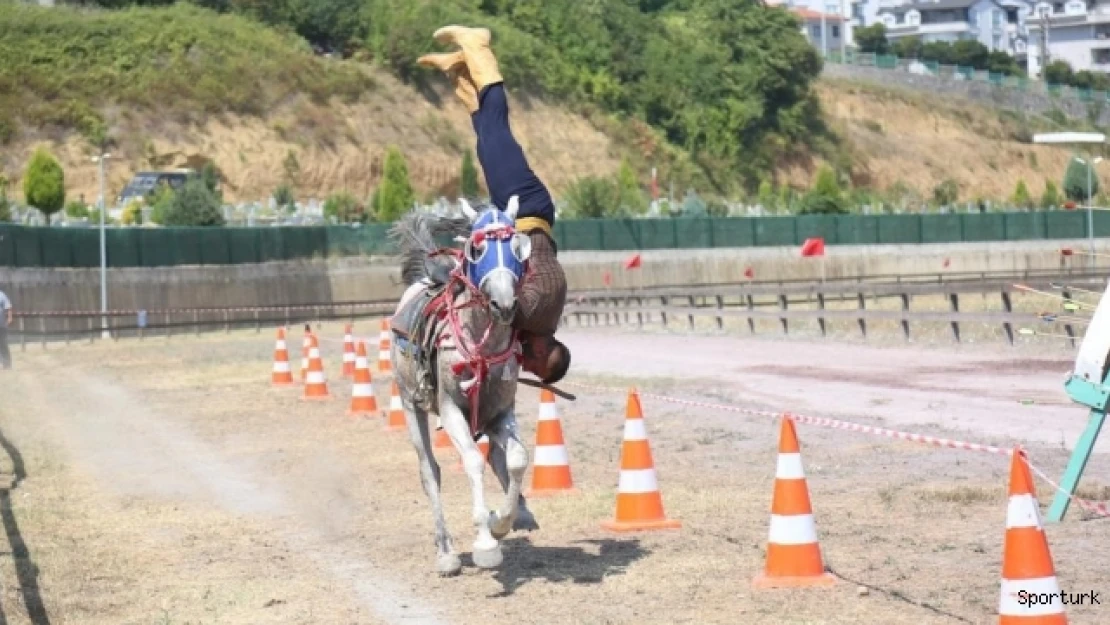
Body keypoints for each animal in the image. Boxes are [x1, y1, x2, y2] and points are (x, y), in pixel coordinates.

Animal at [388, 195, 539, 577]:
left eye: (517, 246)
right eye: (477, 247)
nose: (504, 303)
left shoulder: (499, 413)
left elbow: (516, 459)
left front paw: (501, 521)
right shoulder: (450, 410)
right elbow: (471, 461)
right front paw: (485, 543)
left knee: (497, 459)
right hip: (410, 404)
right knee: (430, 473)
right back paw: (446, 553)